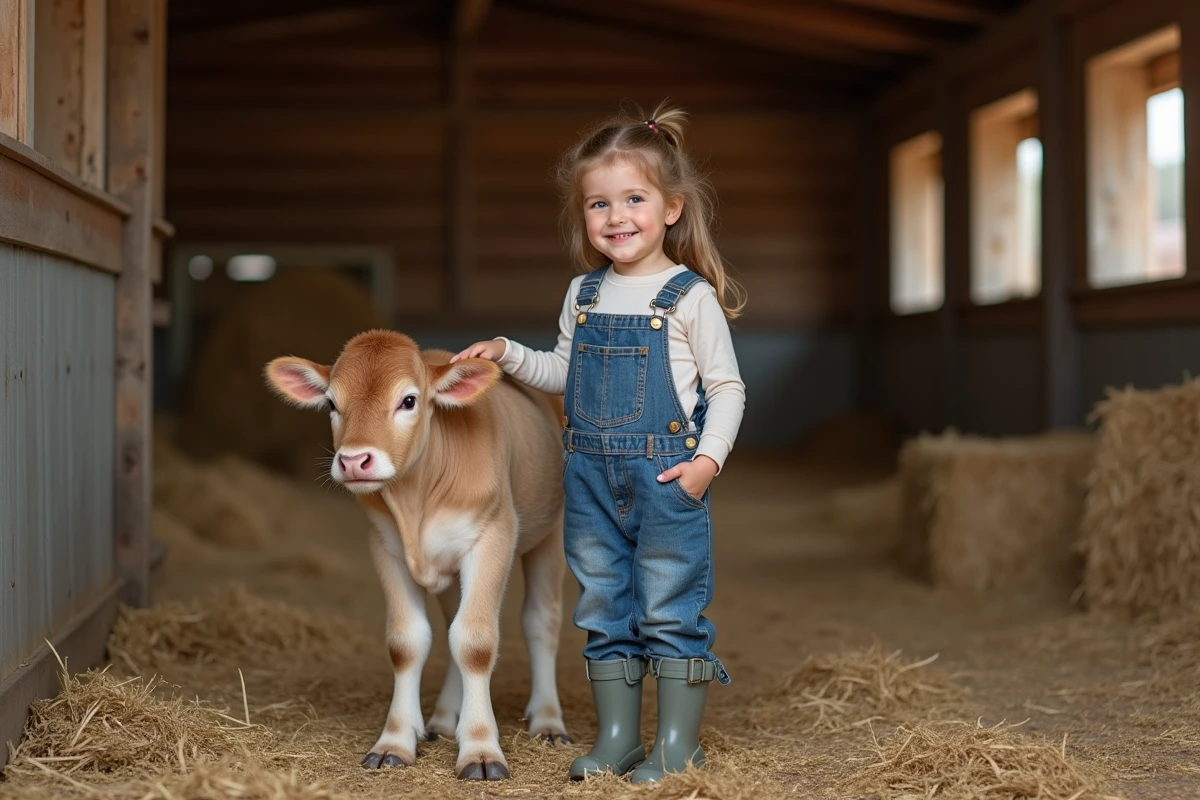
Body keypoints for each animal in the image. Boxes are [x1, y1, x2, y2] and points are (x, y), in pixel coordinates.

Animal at [264, 329, 571, 781]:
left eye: (408, 401)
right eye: (332, 404)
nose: (354, 460)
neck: (416, 501)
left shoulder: (493, 537)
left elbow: (476, 642)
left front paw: (480, 749)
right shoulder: (385, 546)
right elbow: (408, 642)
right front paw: (395, 741)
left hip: (550, 535)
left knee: (541, 621)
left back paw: (548, 721)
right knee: (452, 622)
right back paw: (443, 720)